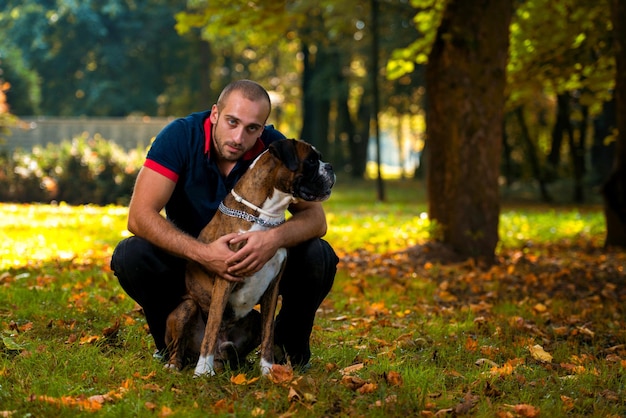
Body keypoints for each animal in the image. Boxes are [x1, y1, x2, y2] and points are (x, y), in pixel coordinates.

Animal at [163, 139, 334, 378]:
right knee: (180, 346)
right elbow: (212, 327)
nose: (330, 168)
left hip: (252, 318)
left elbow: (268, 334)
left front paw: (268, 370)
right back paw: (177, 365)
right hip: (186, 309)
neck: (264, 216)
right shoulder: (224, 280)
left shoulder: (272, 287)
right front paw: (203, 371)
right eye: (310, 161)